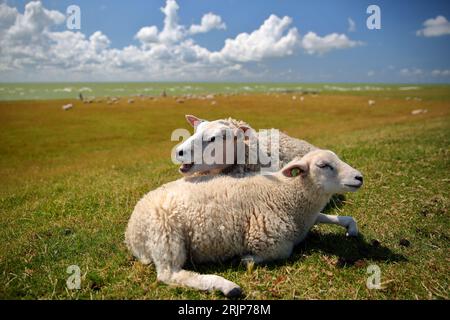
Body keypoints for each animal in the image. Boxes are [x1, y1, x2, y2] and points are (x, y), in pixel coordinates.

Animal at [125, 150, 364, 298]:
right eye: (324, 165)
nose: (359, 177)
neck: (287, 194)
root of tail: (131, 234)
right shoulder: (268, 237)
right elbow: (283, 252)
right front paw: (246, 259)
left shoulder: (309, 218)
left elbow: (333, 217)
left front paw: (351, 227)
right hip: (166, 235)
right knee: (170, 274)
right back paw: (226, 286)